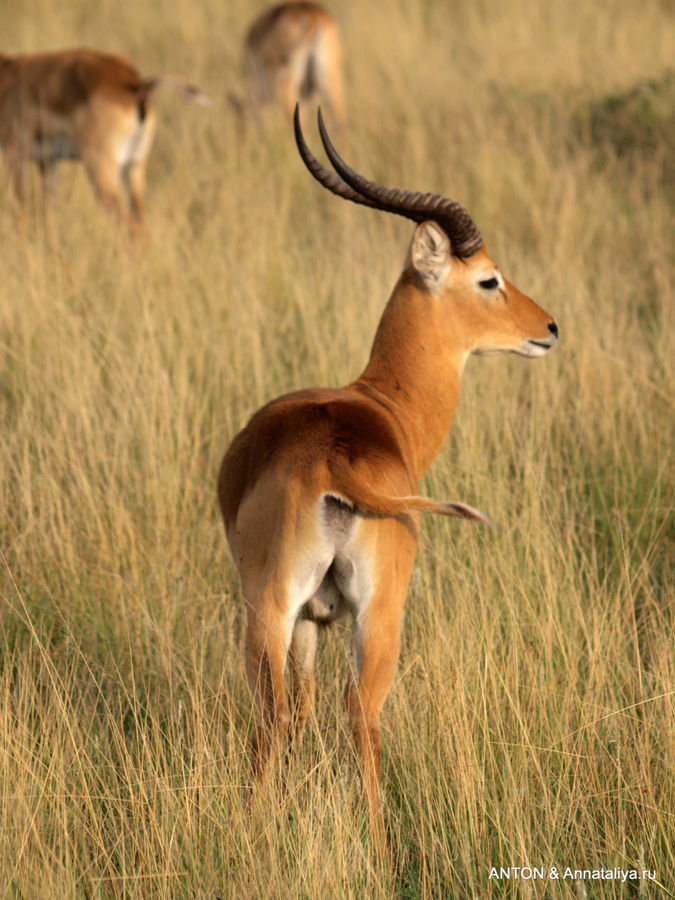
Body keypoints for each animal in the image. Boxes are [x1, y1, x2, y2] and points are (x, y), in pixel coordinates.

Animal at [0, 48, 210, 225]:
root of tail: (135, 83)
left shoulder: (14, 155)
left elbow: (21, 211)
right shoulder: (48, 161)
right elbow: (49, 213)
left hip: (101, 168)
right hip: (134, 166)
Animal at [218, 109, 560, 840]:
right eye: (488, 279)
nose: (548, 327)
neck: (380, 407)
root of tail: (332, 460)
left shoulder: (311, 618)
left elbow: (300, 711)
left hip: (282, 610)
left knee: (287, 716)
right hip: (368, 613)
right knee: (356, 716)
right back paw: (374, 846)